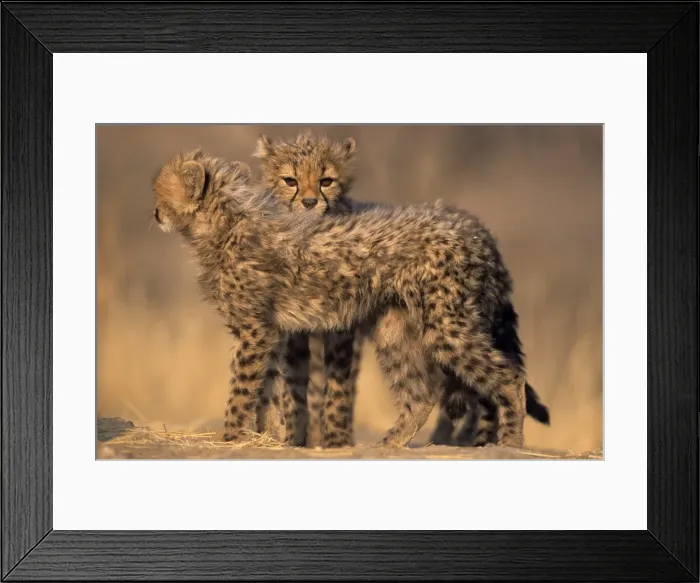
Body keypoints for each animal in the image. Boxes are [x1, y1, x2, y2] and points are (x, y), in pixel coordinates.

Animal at [152, 148, 530, 448]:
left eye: (160, 190)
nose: (154, 213)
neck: (223, 223)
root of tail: (475, 232)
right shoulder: (271, 332)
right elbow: (268, 391)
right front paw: (268, 439)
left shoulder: (254, 330)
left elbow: (243, 388)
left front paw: (231, 436)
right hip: (394, 328)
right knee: (421, 394)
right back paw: (390, 442)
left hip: (446, 323)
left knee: (509, 377)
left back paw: (511, 441)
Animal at [252, 131, 550, 447]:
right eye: (290, 181)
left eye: (326, 181)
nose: (309, 202)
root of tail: (478, 229)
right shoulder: (293, 332)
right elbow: (294, 387)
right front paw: (295, 438)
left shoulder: (343, 332)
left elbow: (337, 387)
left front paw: (335, 440)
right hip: (400, 328)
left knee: (485, 385)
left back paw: (496, 441)